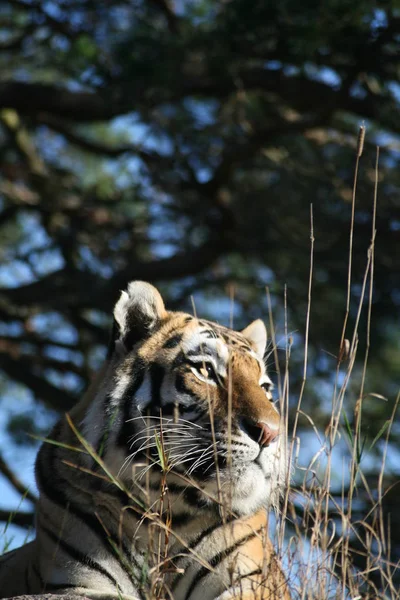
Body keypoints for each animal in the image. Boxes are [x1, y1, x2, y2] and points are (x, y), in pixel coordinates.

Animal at [0, 282, 290, 600]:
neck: (166, 512)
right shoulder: (78, 583)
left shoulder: (250, 583)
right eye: (206, 371)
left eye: (266, 388)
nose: (271, 433)